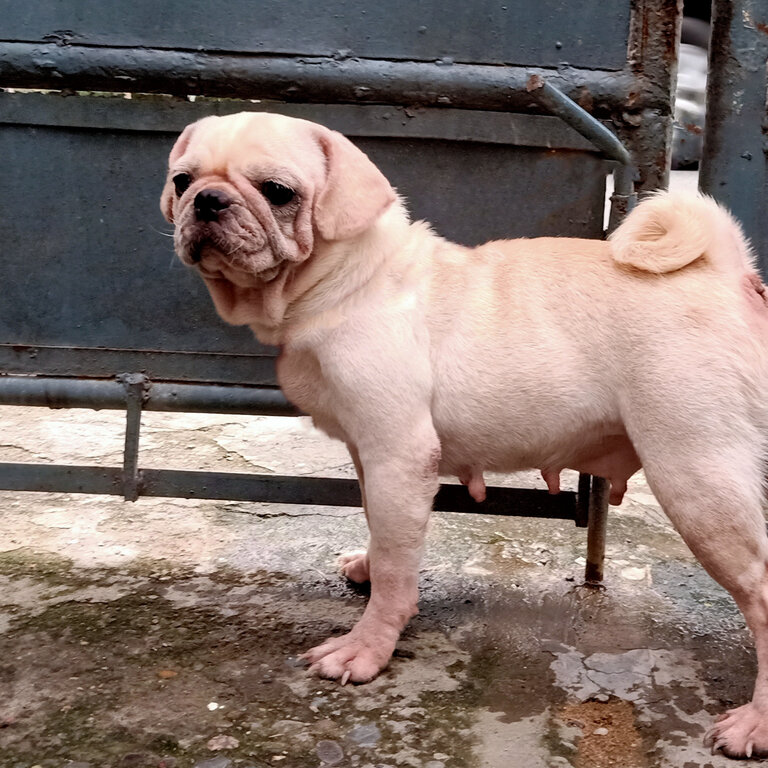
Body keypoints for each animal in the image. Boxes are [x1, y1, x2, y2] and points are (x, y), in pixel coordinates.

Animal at [162, 112, 768, 756]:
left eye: (277, 191)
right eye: (182, 181)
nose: (208, 201)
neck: (346, 279)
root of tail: (727, 272)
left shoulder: (398, 454)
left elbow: (398, 569)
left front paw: (368, 646)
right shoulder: (371, 455)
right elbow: (382, 530)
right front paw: (370, 565)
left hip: (697, 477)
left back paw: (757, 721)